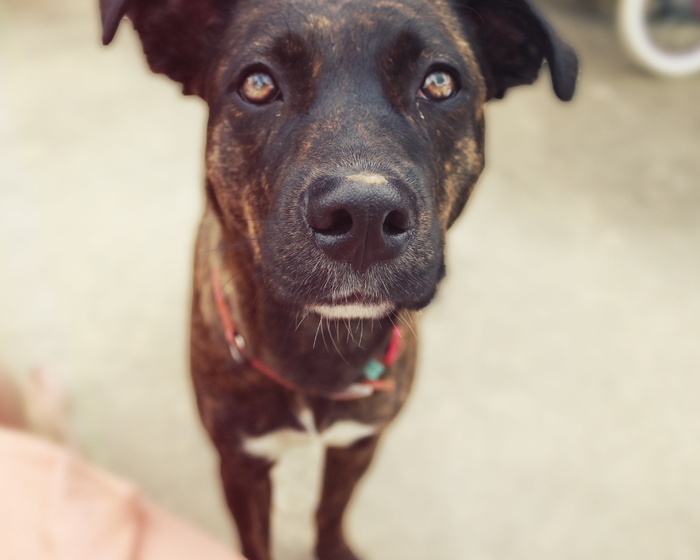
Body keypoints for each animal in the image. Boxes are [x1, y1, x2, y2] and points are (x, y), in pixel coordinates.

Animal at [100, 0, 580, 556]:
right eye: (257, 83)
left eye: (439, 82)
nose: (365, 216)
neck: (318, 351)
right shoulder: (242, 464)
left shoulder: (359, 443)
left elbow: (331, 510)